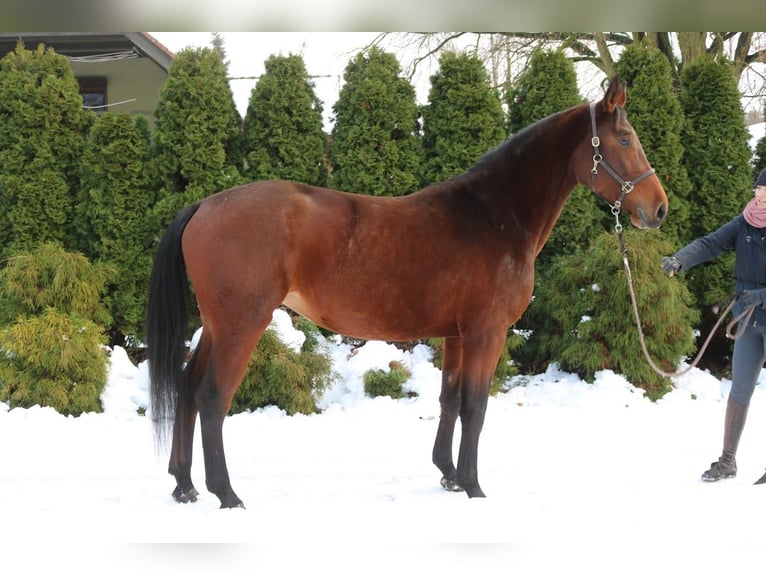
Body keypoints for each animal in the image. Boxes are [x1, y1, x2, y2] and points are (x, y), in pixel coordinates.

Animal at [146, 76, 668, 509]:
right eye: (625, 139)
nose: (659, 209)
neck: (495, 214)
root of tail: (205, 205)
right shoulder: (486, 333)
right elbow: (476, 407)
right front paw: (474, 486)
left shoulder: (456, 335)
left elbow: (450, 399)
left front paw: (449, 475)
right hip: (242, 324)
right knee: (213, 396)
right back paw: (226, 493)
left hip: (216, 325)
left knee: (187, 387)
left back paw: (184, 485)